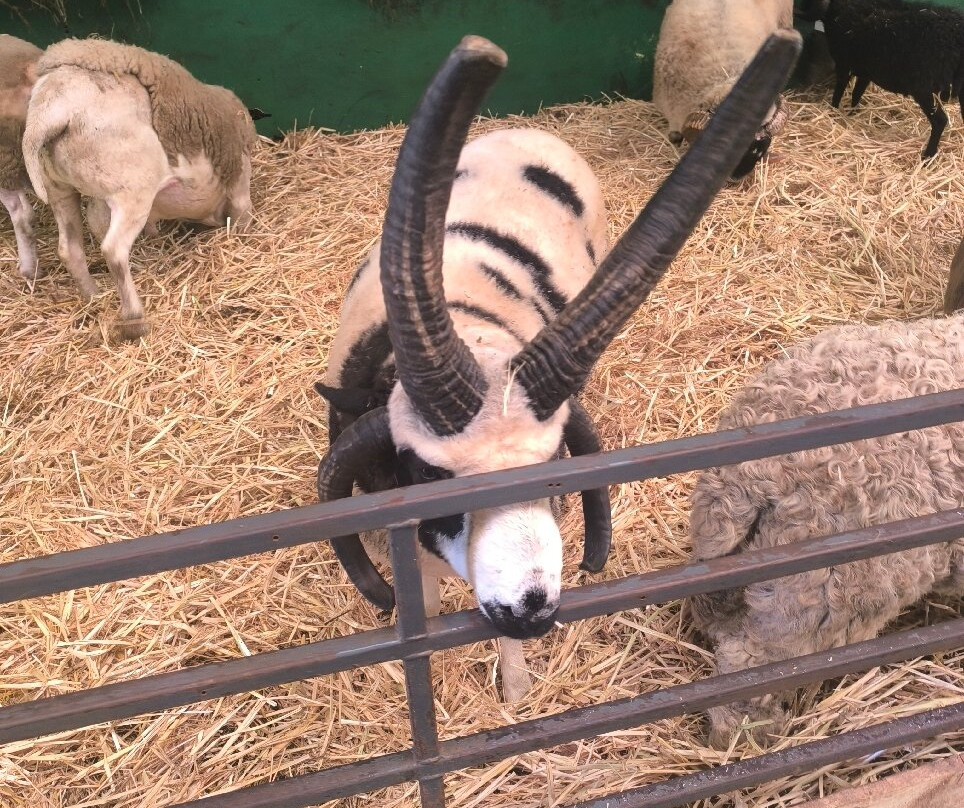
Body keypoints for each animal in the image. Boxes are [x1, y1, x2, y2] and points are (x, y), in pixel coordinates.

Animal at [22, 38, 257, 340]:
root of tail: (52, 107)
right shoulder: (239, 179)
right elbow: (242, 212)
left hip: (59, 188)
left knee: (69, 248)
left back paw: (93, 296)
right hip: (133, 190)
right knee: (113, 250)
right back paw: (134, 320)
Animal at [314, 31, 801, 700]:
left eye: (553, 469)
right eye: (433, 476)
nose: (533, 608)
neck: (470, 325)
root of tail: (538, 133)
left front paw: (516, 691)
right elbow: (425, 607)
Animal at [807, 0, 964, 160]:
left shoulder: (844, 64)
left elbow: (838, 93)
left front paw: (832, 113)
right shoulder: (865, 72)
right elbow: (856, 94)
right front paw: (852, 114)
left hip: (923, 86)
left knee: (940, 120)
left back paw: (927, 156)